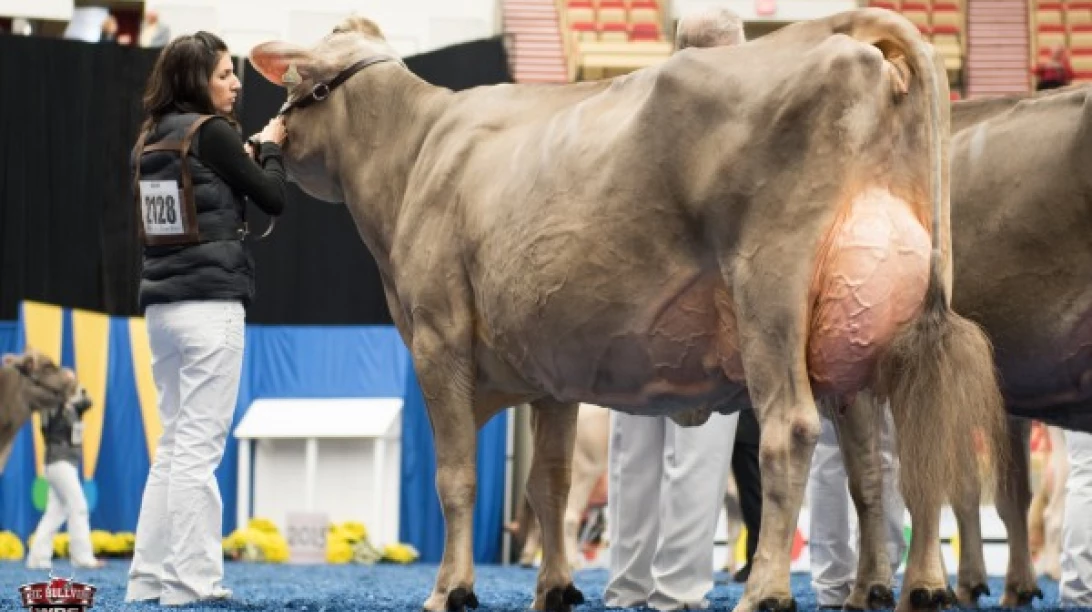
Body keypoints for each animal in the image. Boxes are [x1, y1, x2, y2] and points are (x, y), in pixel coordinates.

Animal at [248, 10, 1006, 612]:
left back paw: (767, 590)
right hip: (871, 329)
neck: (415, 157)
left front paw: (450, 589)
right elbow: (548, 485)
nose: (257, 143)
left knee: (791, 429)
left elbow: (456, 478)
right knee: (893, 457)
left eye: (292, 84)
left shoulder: (438, 338)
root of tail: (838, 32)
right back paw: (903, 587)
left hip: (771, 291)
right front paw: (554, 587)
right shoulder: (546, 373)